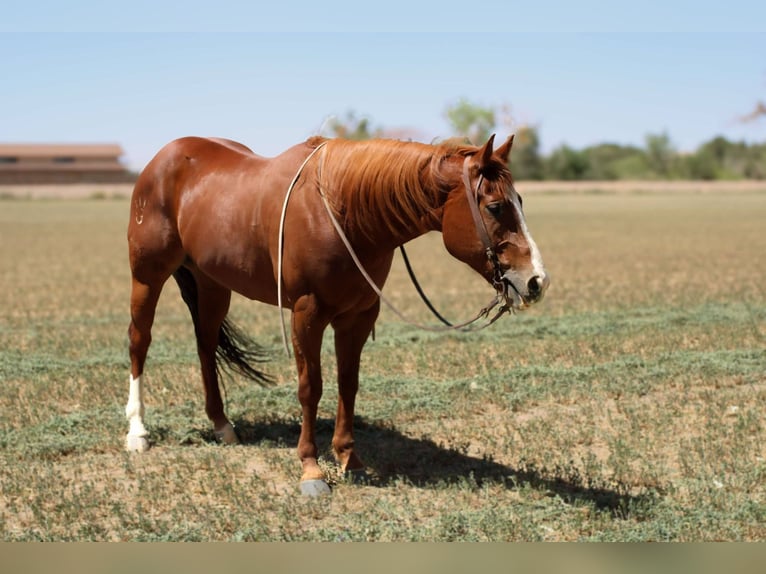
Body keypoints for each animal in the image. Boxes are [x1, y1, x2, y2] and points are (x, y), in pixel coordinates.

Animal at [125, 133, 549, 495]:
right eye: (495, 207)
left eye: (521, 202)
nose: (536, 281)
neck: (343, 214)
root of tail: (163, 158)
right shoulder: (306, 313)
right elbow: (310, 387)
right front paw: (311, 468)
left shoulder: (359, 316)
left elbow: (349, 383)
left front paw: (350, 459)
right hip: (147, 277)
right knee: (139, 342)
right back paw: (137, 432)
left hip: (211, 282)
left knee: (205, 343)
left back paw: (221, 425)